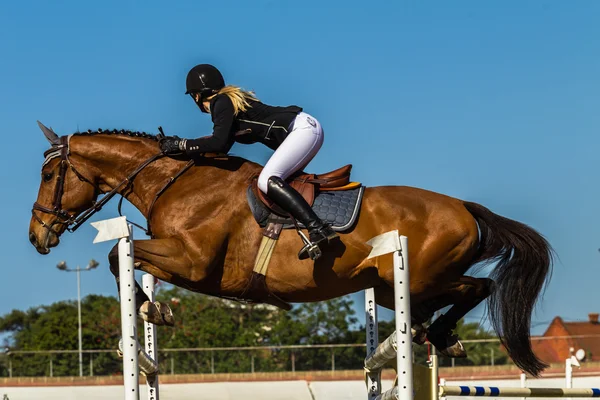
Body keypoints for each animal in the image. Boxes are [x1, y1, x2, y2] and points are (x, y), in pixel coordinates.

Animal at [28, 121, 552, 376]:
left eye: (51, 174)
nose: (37, 236)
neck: (176, 183)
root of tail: (464, 207)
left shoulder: (193, 264)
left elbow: (118, 257)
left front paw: (152, 310)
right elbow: (123, 259)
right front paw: (153, 308)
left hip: (420, 276)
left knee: (478, 286)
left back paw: (442, 334)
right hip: (392, 288)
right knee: (442, 301)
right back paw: (438, 335)